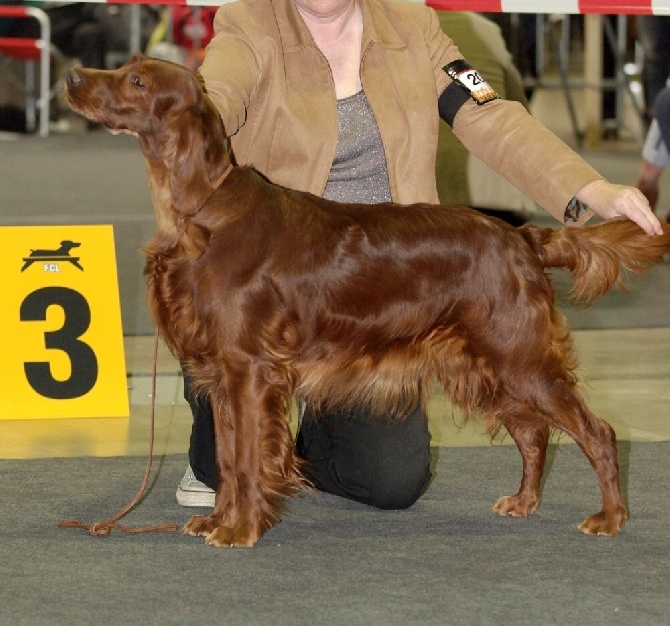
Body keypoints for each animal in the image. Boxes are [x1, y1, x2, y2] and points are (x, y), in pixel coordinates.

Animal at [67, 58, 670, 544]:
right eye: (124, 67)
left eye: (138, 80)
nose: (71, 76)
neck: (203, 211)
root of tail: (521, 236)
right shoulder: (222, 373)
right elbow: (230, 458)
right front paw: (219, 520)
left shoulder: (249, 369)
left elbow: (247, 459)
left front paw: (240, 530)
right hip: (487, 364)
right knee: (534, 431)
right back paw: (524, 502)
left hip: (519, 356)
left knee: (596, 431)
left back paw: (610, 518)